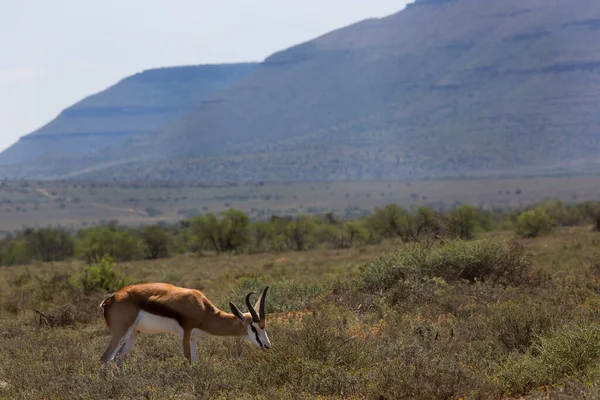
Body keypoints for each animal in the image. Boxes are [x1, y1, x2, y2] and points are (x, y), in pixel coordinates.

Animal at [99, 282, 272, 368]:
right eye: (254, 327)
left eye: (264, 326)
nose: (267, 346)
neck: (203, 309)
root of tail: (109, 300)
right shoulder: (186, 333)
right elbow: (188, 361)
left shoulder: (194, 338)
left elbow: (194, 362)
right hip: (121, 333)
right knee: (105, 359)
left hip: (134, 334)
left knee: (118, 360)